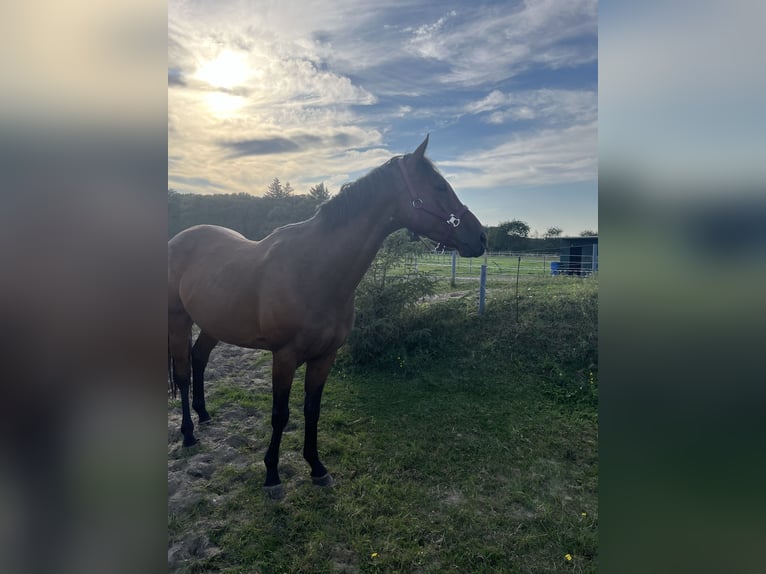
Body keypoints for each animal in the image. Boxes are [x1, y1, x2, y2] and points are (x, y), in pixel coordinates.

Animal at [171, 136, 488, 500]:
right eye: (439, 186)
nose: (481, 237)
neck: (315, 269)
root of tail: (178, 238)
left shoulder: (325, 356)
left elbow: (313, 409)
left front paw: (317, 468)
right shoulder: (284, 357)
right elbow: (280, 415)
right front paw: (272, 476)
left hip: (213, 323)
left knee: (199, 358)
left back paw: (205, 415)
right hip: (177, 320)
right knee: (182, 372)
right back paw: (189, 434)